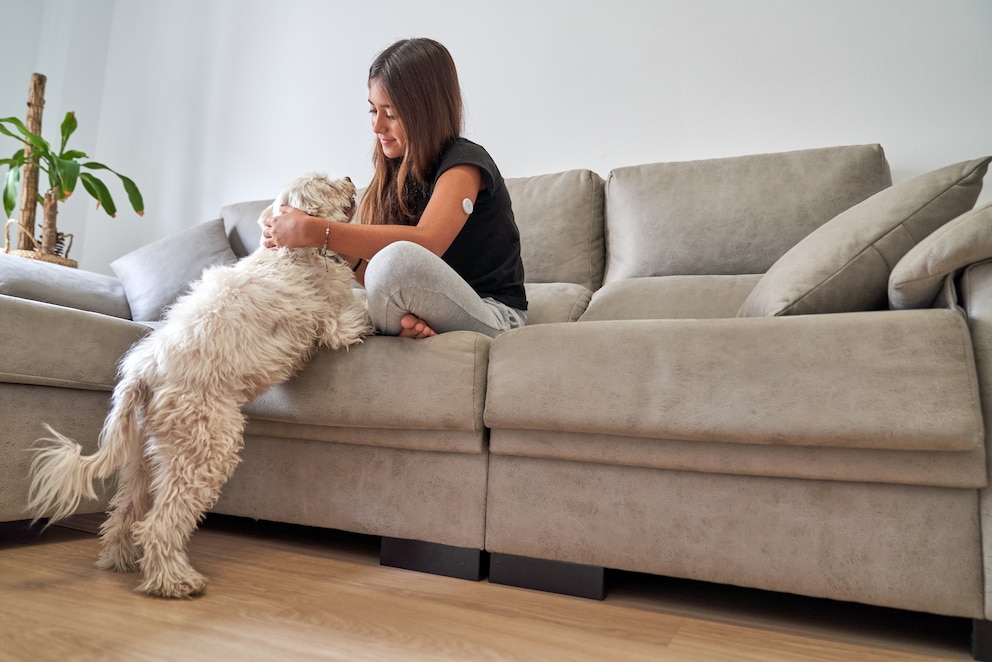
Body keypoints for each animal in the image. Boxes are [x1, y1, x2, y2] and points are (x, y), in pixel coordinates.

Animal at [27, 174, 370, 600]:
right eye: (324, 181)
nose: (350, 178)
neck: (291, 254)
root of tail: (144, 371)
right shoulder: (333, 320)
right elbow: (353, 315)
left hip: (145, 458)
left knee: (126, 514)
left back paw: (121, 562)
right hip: (204, 450)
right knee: (159, 525)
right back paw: (174, 581)